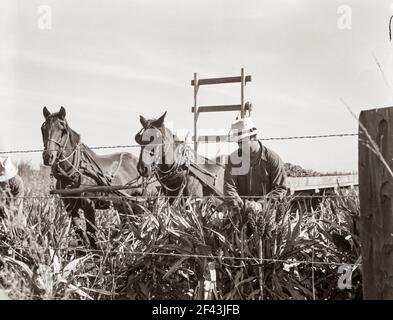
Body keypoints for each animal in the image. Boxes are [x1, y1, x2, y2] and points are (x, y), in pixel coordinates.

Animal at [40, 106, 150, 249]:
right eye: (43, 128)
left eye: (63, 129)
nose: (48, 156)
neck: (76, 171)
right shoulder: (69, 205)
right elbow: (79, 232)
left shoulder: (88, 203)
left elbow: (91, 232)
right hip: (123, 204)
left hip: (137, 201)